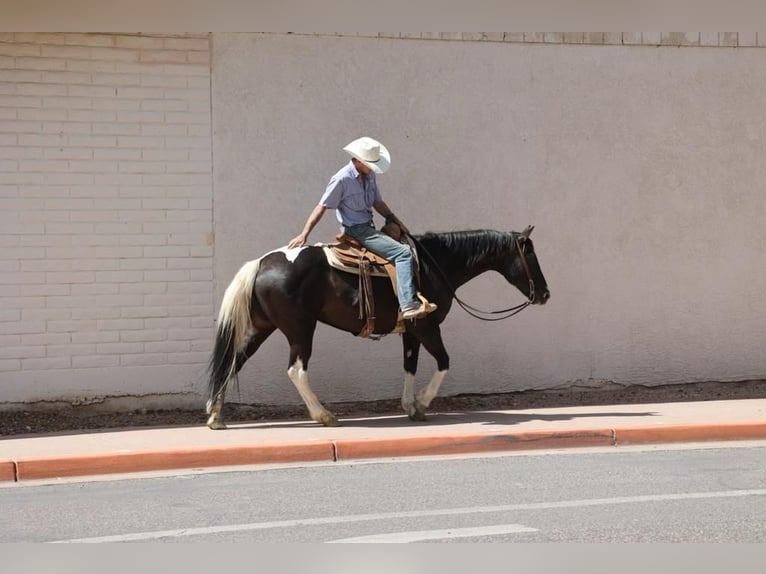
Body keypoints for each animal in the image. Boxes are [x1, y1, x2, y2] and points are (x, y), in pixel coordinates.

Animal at [205, 226, 550, 429]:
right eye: (530, 254)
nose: (545, 294)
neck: (433, 264)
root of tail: (262, 262)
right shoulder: (427, 326)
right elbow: (444, 361)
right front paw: (423, 401)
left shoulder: (411, 331)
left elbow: (410, 365)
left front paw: (411, 406)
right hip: (300, 330)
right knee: (296, 370)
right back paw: (324, 415)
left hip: (262, 328)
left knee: (232, 362)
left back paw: (215, 415)